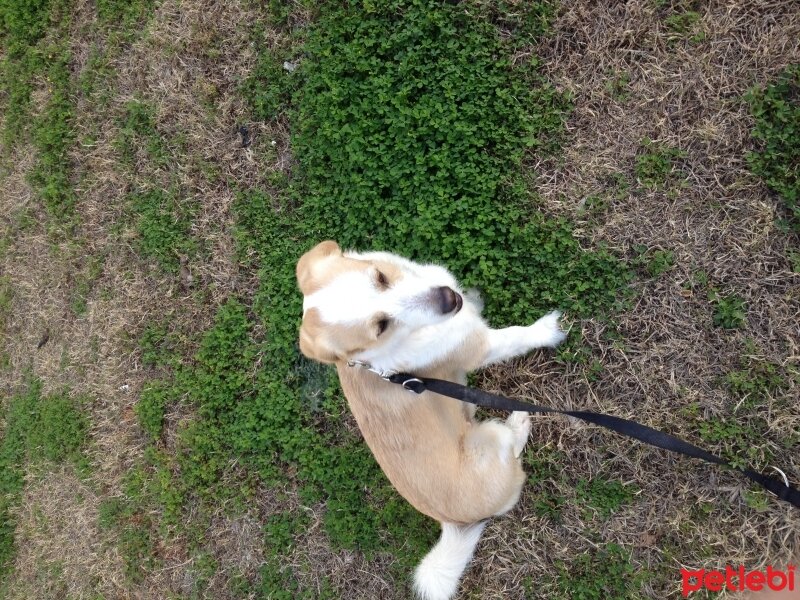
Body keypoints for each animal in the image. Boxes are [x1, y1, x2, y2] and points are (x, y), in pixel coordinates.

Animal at [296, 241, 564, 596]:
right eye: (381, 326)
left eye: (380, 277)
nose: (448, 298)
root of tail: (454, 523)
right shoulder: (482, 347)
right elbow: (516, 336)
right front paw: (547, 330)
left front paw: (472, 296)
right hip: (490, 439)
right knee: (512, 447)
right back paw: (520, 421)